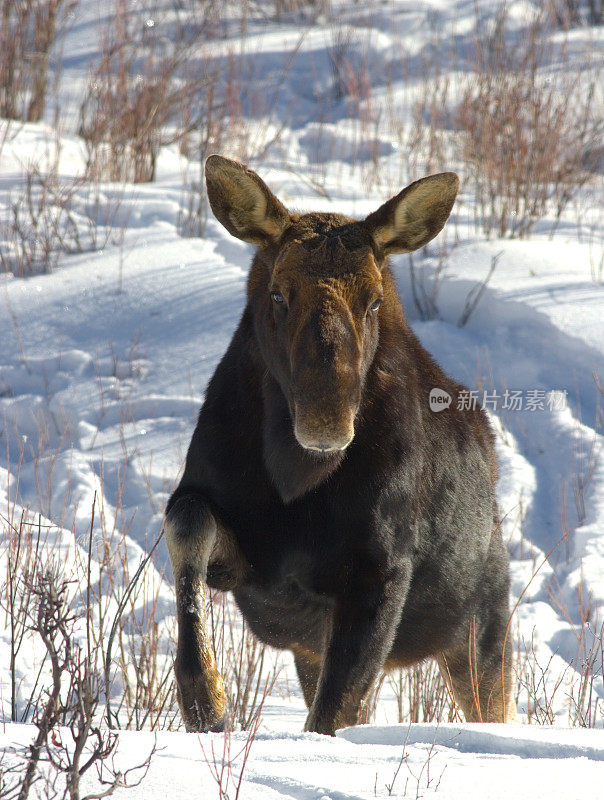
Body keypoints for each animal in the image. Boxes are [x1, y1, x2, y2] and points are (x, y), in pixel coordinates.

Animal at [165, 153, 516, 736]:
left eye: (373, 300)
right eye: (278, 294)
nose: (326, 420)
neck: (295, 479)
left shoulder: (381, 567)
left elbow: (334, 709)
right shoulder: (247, 563)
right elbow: (186, 523)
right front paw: (206, 702)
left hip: (482, 627)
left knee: (494, 704)